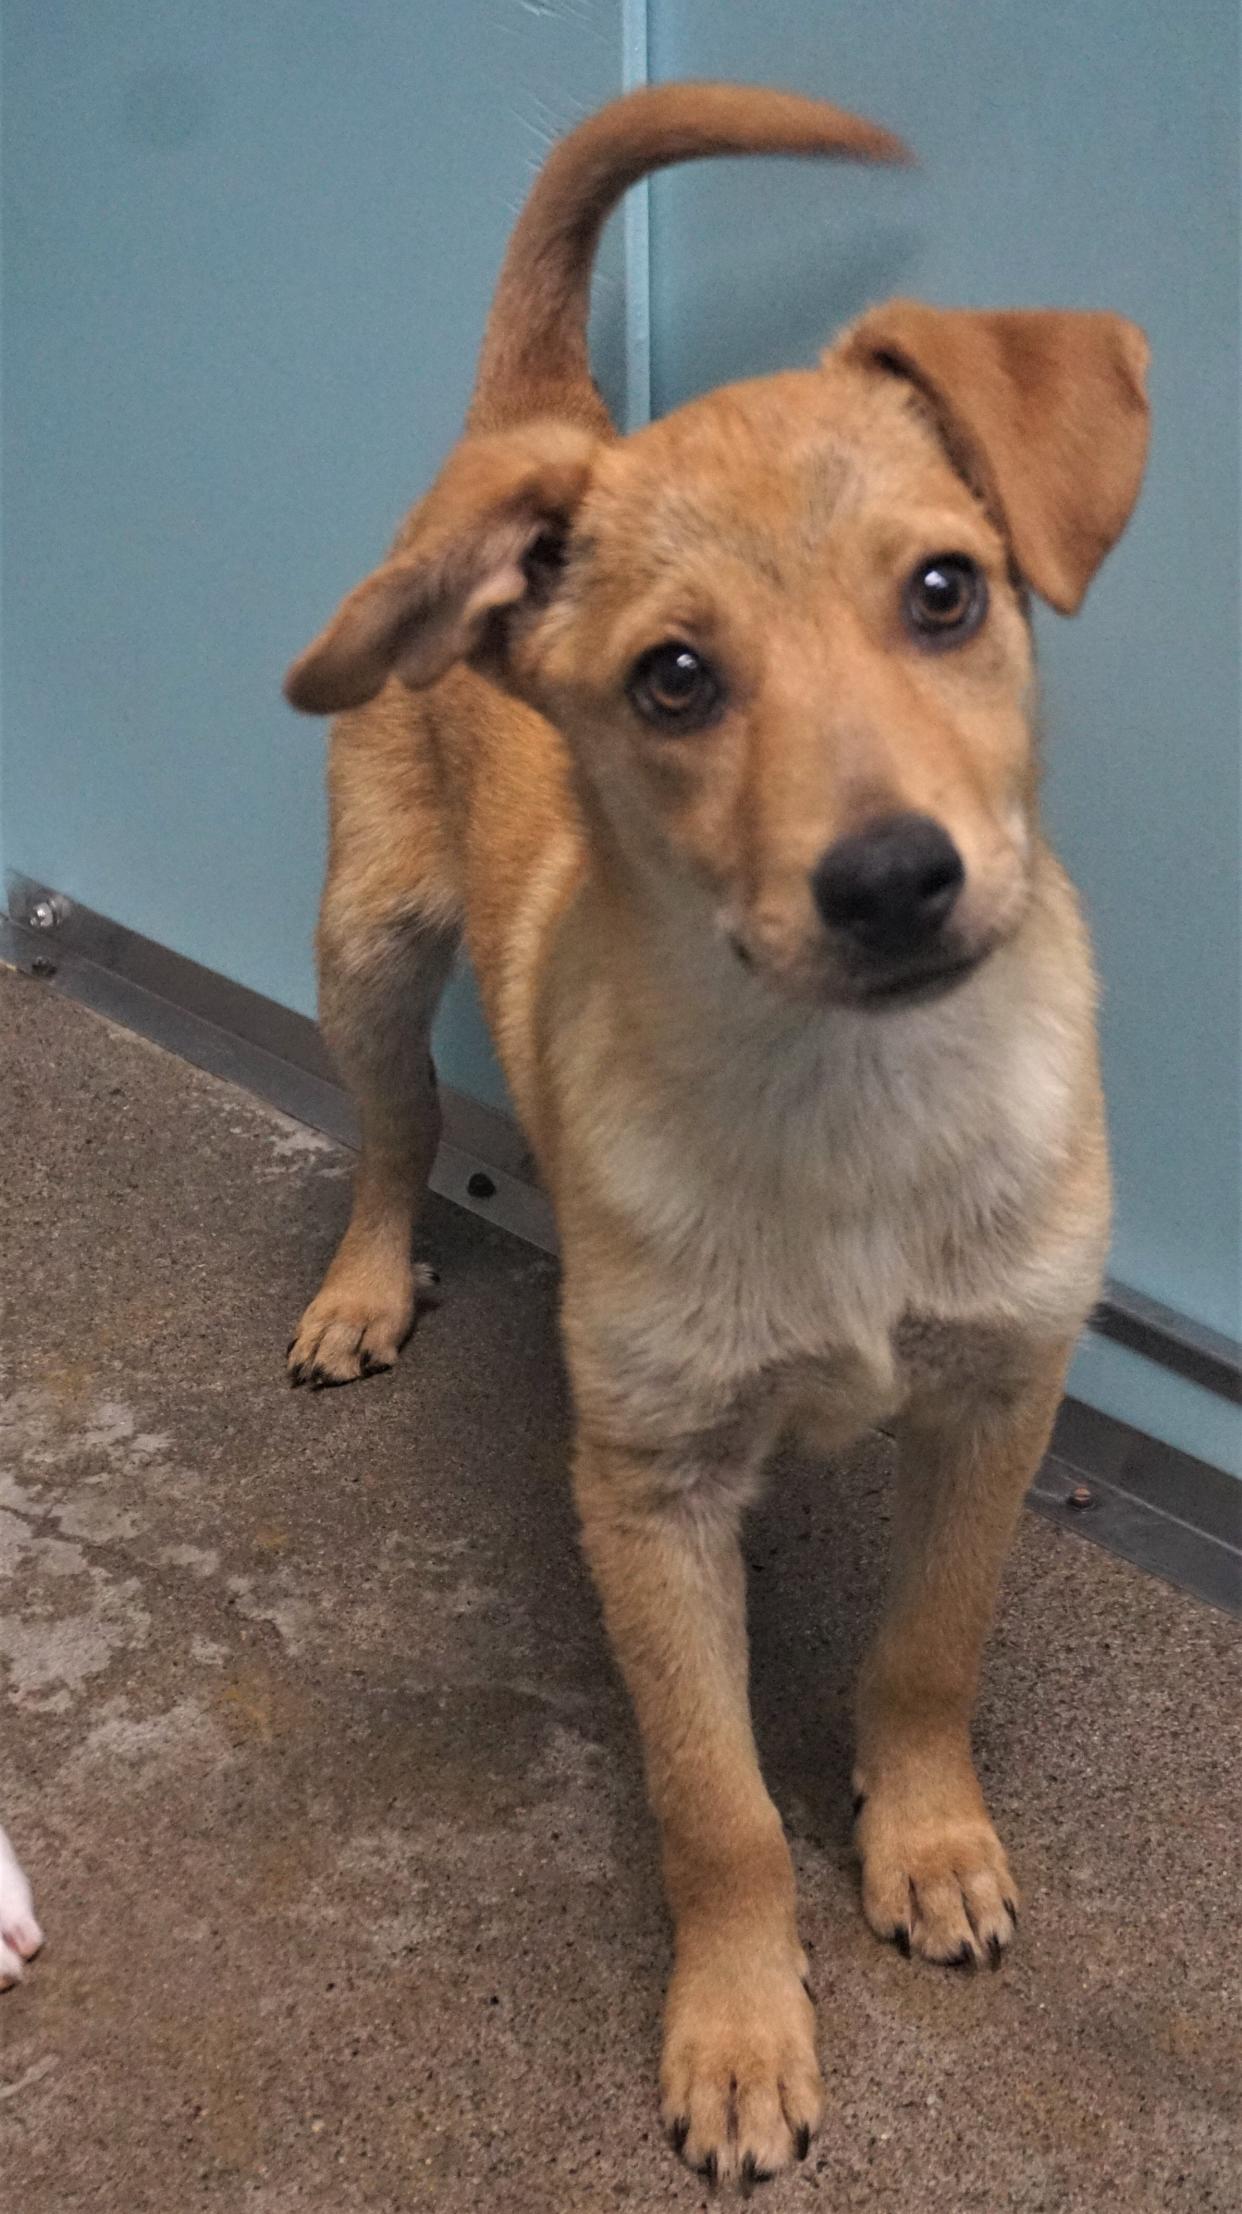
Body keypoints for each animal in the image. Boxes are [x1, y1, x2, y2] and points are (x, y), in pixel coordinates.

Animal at [283, 81, 1151, 2178]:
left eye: (947, 589)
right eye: (672, 676)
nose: (894, 880)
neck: (849, 1107)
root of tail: (543, 413)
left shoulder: (1001, 1391)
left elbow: (926, 1648)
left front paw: (926, 1838)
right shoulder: (649, 1487)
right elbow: (716, 1798)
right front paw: (743, 2025)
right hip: (368, 940)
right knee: (394, 1127)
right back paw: (361, 1282)